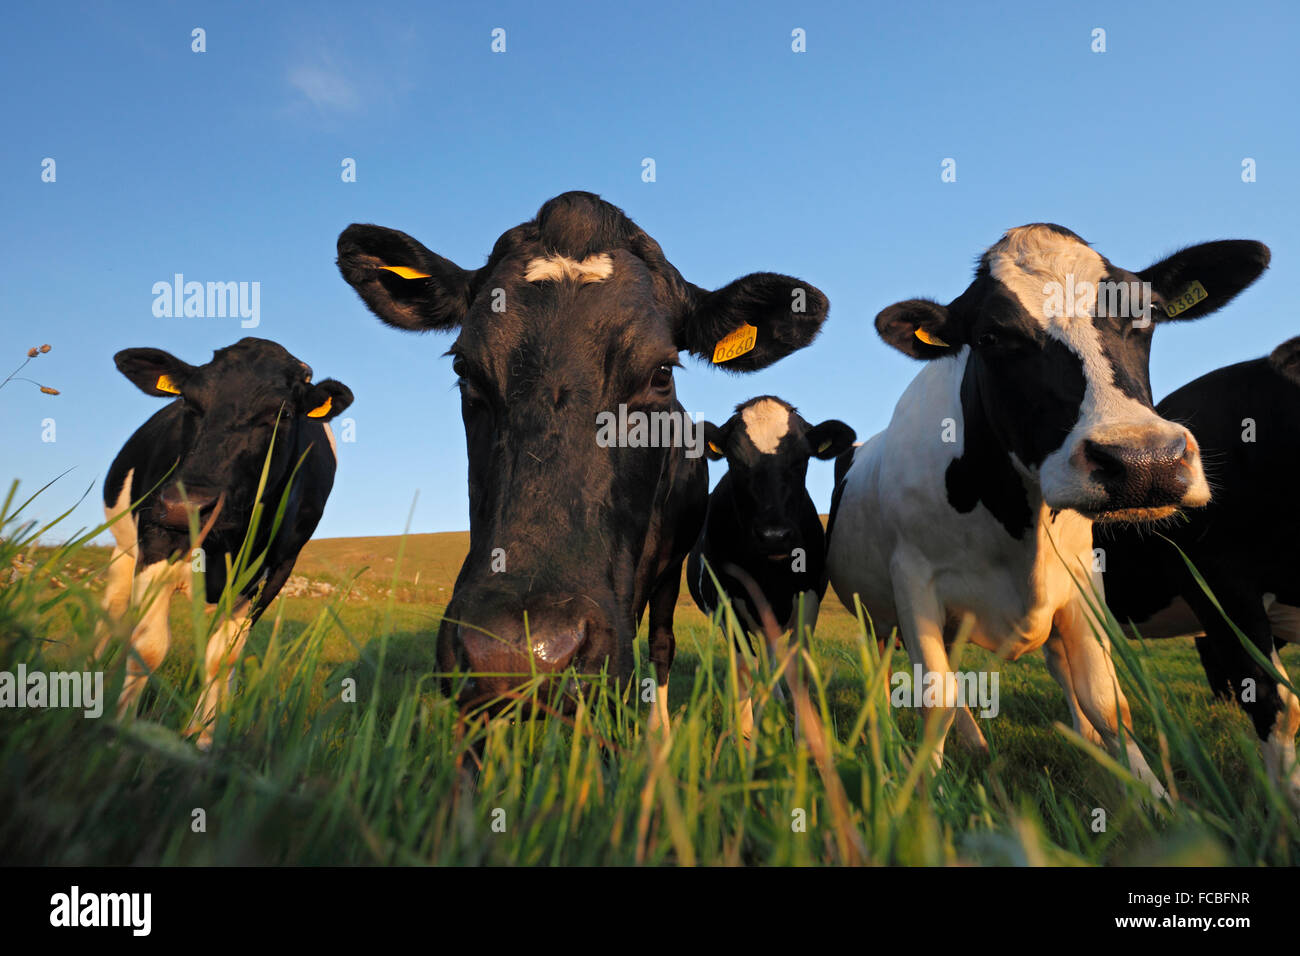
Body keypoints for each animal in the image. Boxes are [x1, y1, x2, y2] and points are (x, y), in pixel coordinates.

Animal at [94, 335, 356, 749]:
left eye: (281, 414)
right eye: (189, 401)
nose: (186, 507)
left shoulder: (271, 573)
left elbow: (222, 659)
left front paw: (203, 738)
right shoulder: (155, 541)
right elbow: (148, 647)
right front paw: (120, 732)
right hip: (123, 549)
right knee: (112, 613)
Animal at [686, 395, 857, 738]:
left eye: (801, 459)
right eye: (736, 461)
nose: (773, 535)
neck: (769, 574)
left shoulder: (809, 596)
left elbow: (797, 666)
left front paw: (804, 736)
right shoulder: (726, 602)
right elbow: (743, 666)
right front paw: (744, 736)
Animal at [826, 226, 1263, 801]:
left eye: (1147, 314)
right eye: (991, 338)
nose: (1145, 461)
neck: (1017, 525)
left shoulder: (1081, 579)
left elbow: (1107, 701)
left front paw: (1156, 798)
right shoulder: (913, 580)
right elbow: (935, 697)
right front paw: (926, 799)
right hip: (871, 613)